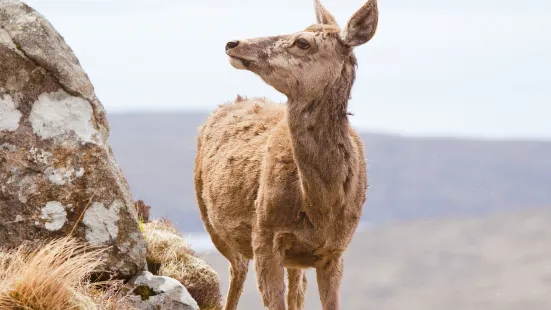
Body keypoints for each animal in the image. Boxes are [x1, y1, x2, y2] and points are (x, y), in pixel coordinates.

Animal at [194, 1, 380, 308]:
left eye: (303, 42)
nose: (233, 43)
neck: (321, 207)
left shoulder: (336, 251)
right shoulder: (264, 235)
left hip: (292, 257)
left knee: (296, 288)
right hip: (210, 218)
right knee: (237, 270)